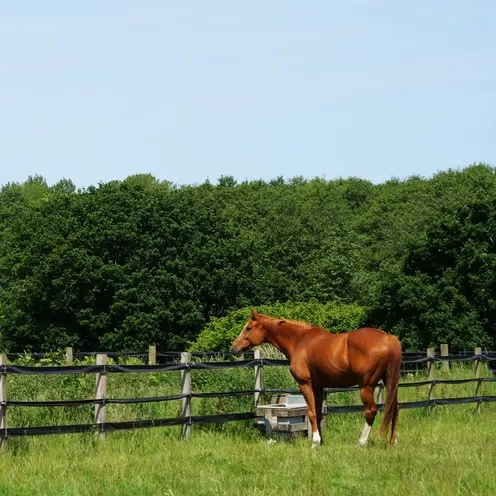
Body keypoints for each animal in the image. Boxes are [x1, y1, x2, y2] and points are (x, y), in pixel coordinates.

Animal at [232, 310, 404, 446]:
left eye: (248, 328)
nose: (234, 348)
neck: (299, 341)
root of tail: (388, 338)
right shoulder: (318, 387)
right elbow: (319, 413)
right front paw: (320, 441)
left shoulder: (305, 384)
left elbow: (312, 413)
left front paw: (314, 442)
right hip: (389, 382)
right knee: (394, 407)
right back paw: (393, 442)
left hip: (366, 387)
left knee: (371, 411)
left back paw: (362, 442)